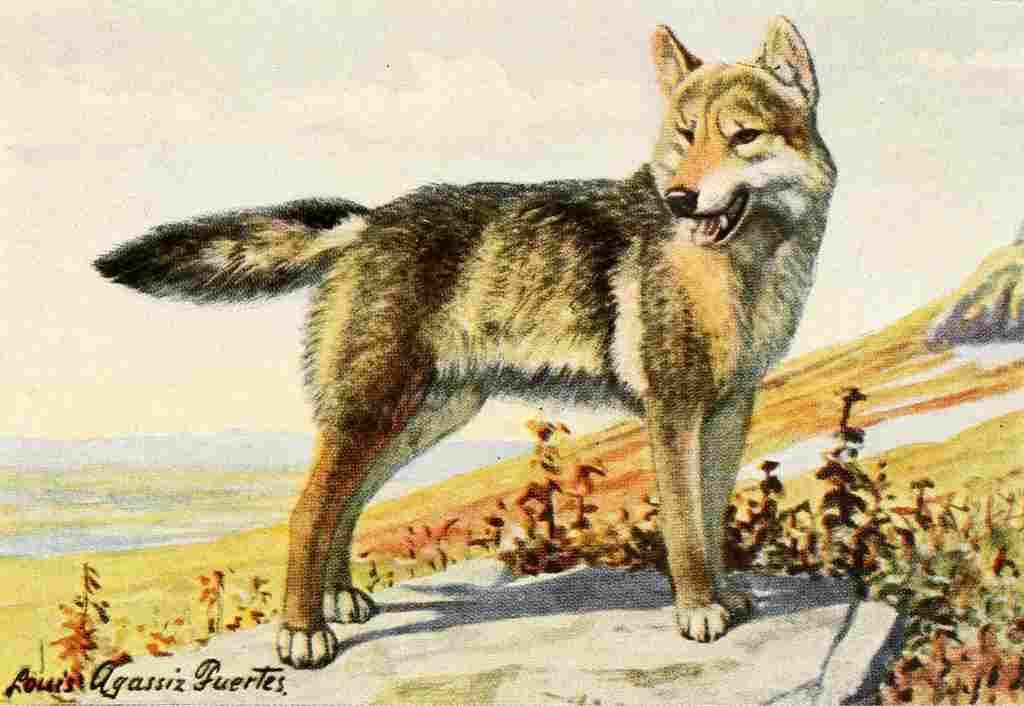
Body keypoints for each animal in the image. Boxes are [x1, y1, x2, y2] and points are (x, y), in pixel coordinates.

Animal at [95, 17, 835, 669]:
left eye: (742, 136)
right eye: (685, 136)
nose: (681, 198)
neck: (742, 267)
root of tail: (365, 225)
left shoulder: (728, 413)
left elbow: (710, 518)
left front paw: (725, 598)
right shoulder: (673, 414)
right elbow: (685, 530)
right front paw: (697, 608)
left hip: (414, 425)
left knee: (344, 507)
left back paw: (337, 599)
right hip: (374, 416)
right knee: (307, 514)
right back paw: (303, 631)